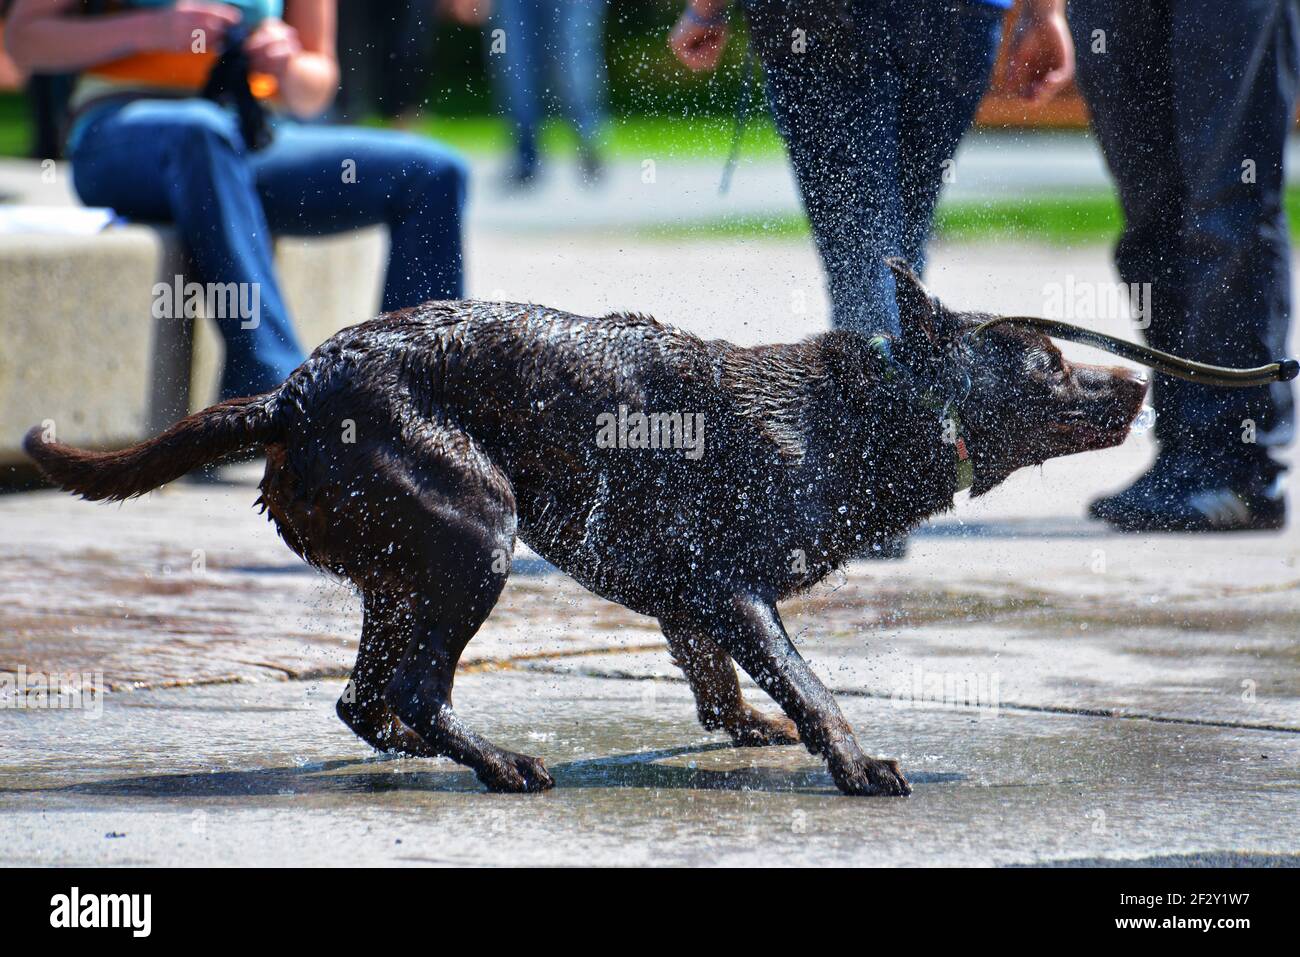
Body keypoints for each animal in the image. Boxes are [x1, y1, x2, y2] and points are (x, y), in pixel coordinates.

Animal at [27, 260, 1149, 790]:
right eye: (1051, 363)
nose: (1139, 382)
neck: (873, 412)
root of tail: (295, 393)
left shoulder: (689, 595)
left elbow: (714, 675)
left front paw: (746, 724)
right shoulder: (737, 588)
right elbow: (811, 685)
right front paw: (855, 764)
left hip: (406, 564)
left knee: (365, 698)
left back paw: (420, 747)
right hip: (476, 530)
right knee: (413, 689)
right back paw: (499, 765)